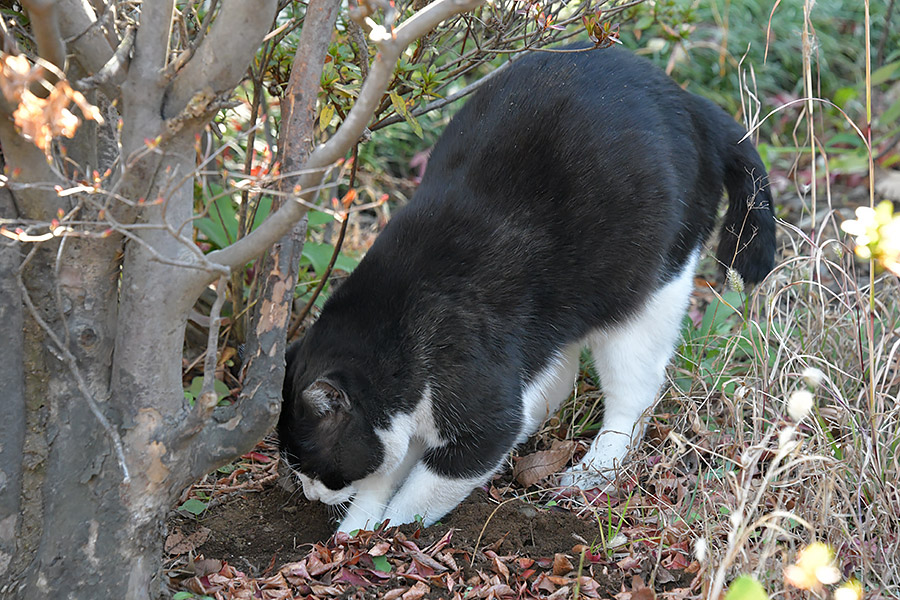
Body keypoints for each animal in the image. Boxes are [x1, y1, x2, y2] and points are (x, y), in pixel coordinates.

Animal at [280, 48, 772, 536]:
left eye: (312, 465)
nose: (308, 494)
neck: (395, 320)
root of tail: (690, 102)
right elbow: (387, 471)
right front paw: (356, 529)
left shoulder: (476, 401)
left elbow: (430, 484)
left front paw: (390, 531)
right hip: (564, 305)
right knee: (560, 371)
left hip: (652, 289)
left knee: (634, 391)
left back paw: (595, 468)